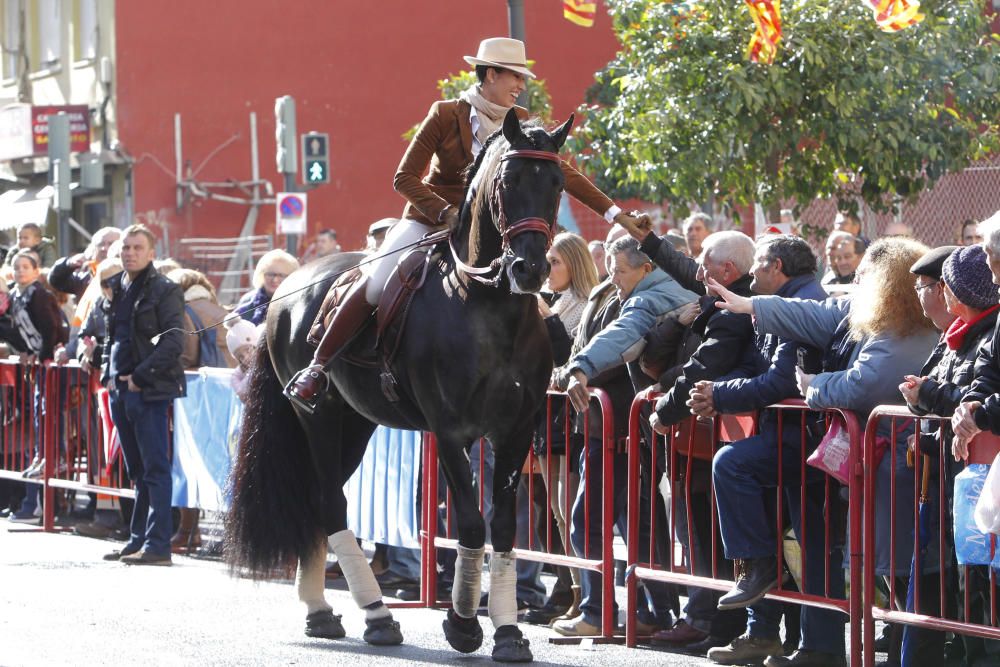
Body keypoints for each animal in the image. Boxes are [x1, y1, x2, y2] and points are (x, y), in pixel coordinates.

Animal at [227, 111, 572, 664]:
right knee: (329, 502)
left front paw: (506, 632)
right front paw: (462, 625)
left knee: (321, 502)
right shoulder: (451, 432)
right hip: (318, 419)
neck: (487, 305)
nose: (531, 268)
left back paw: (322, 610)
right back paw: (375, 616)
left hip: (356, 424)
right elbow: (470, 523)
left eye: (557, 183)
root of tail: (289, 284)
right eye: (509, 181)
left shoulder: (516, 431)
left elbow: (501, 527)